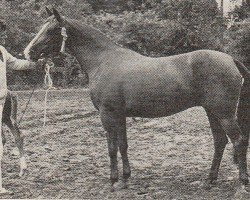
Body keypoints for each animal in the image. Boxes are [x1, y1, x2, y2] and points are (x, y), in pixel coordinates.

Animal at [23, 8, 250, 191]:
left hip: (224, 113)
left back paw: (242, 182)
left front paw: (114, 181)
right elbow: (123, 145)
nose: (28, 52)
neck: (103, 61)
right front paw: (125, 178)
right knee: (220, 142)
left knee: (238, 140)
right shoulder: (121, 115)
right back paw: (209, 180)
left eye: (51, 30)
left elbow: (112, 147)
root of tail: (230, 59)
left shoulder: (108, 114)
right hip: (212, 112)